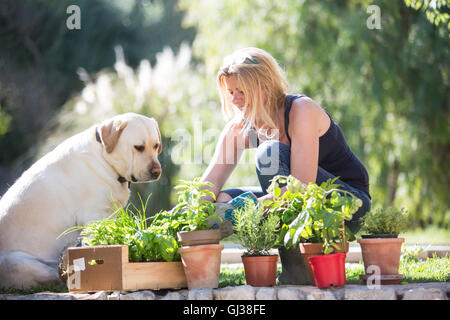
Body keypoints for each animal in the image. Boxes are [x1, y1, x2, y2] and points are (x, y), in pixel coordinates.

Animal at [0, 113, 162, 290]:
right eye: (138, 147)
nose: (157, 171)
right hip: (19, 263)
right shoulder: (93, 218)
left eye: (156, 146)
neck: (104, 158)